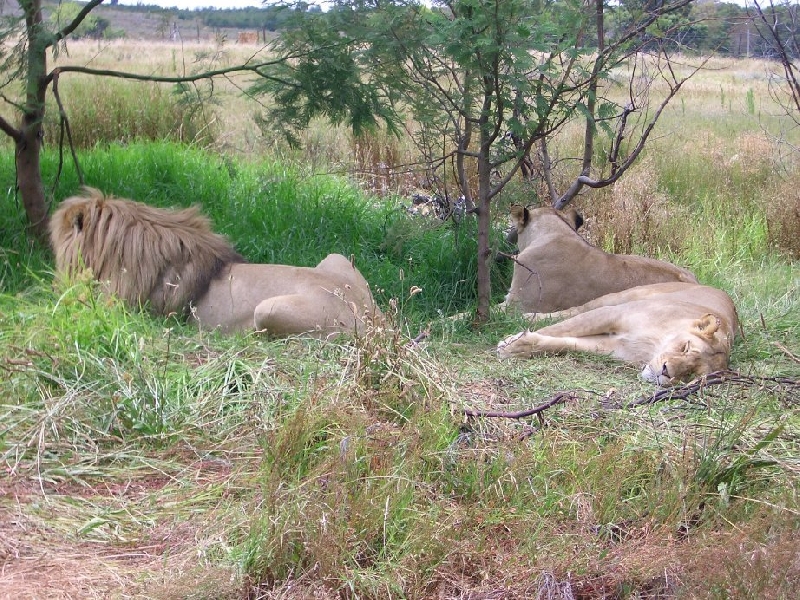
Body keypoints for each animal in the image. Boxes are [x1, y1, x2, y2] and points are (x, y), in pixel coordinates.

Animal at [496, 282, 740, 386]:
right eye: (686, 347)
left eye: (691, 375)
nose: (665, 372)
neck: (652, 346)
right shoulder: (612, 314)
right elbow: (559, 329)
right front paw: (512, 344)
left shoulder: (614, 348)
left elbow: (563, 342)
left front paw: (519, 347)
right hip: (620, 297)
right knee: (574, 310)